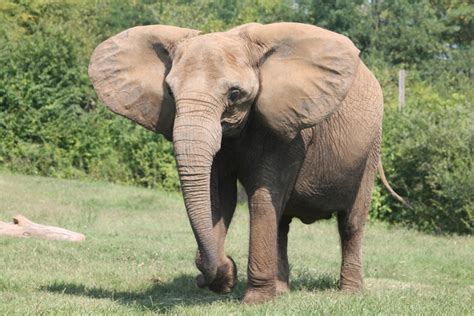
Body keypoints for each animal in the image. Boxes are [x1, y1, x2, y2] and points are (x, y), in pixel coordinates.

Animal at [89, 22, 408, 304]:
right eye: (170, 92)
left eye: (234, 94)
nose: (227, 265)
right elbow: (219, 198)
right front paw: (225, 278)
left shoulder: (290, 131)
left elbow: (262, 198)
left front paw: (253, 300)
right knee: (282, 223)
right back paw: (282, 291)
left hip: (370, 149)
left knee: (351, 223)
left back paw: (348, 294)